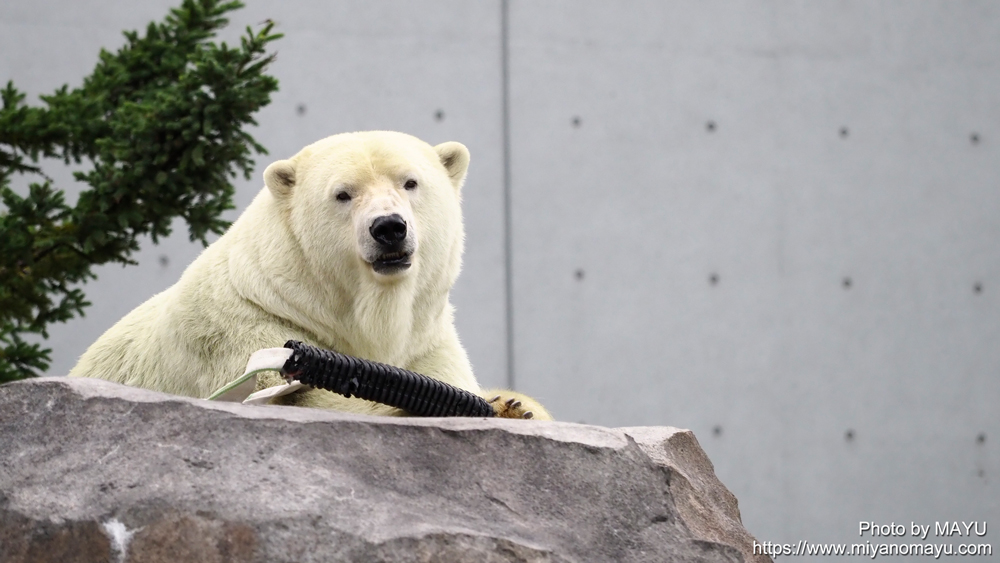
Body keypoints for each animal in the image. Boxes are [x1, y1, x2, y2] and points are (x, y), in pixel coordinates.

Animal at [69, 131, 551, 421]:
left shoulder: (424, 343)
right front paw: (492, 406)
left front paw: (514, 404)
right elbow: (302, 395)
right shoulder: (247, 329)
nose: (389, 228)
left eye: (410, 182)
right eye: (343, 194)